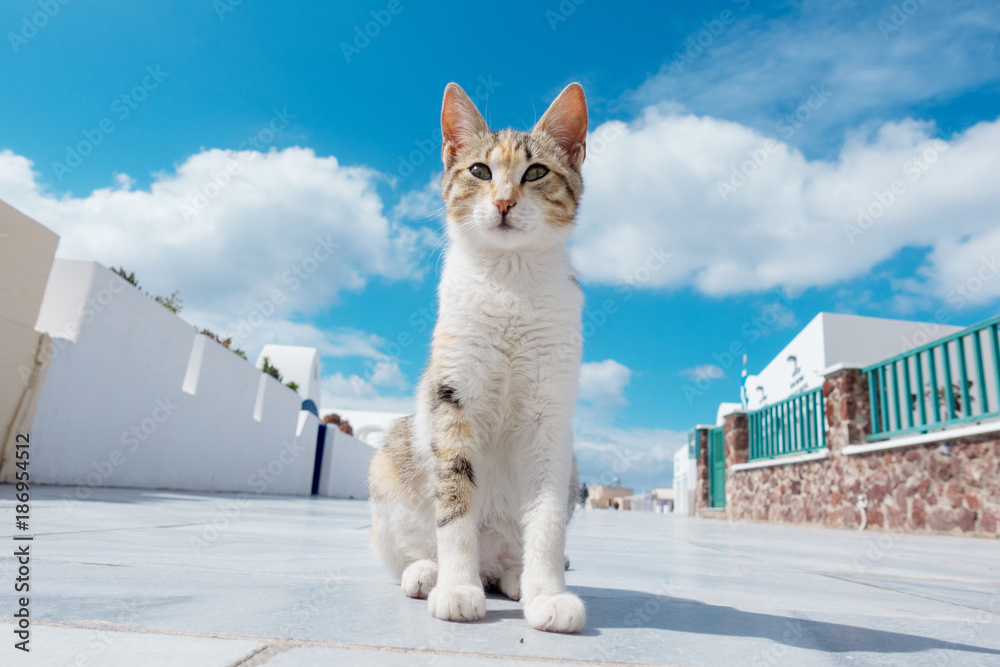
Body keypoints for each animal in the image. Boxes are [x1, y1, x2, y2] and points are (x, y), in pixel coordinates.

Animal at [366, 81, 584, 636]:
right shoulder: (452, 398)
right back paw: (431, 573)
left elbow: (547, 517)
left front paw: (549, 595)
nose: (504, 201)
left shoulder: (551, 417)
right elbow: (455, 503)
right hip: (389, 462)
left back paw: (516, 576)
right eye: (481, 171)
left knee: (511, 555)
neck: (509, 280)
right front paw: (457, 589)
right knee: (411, 545)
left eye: (536, 172)